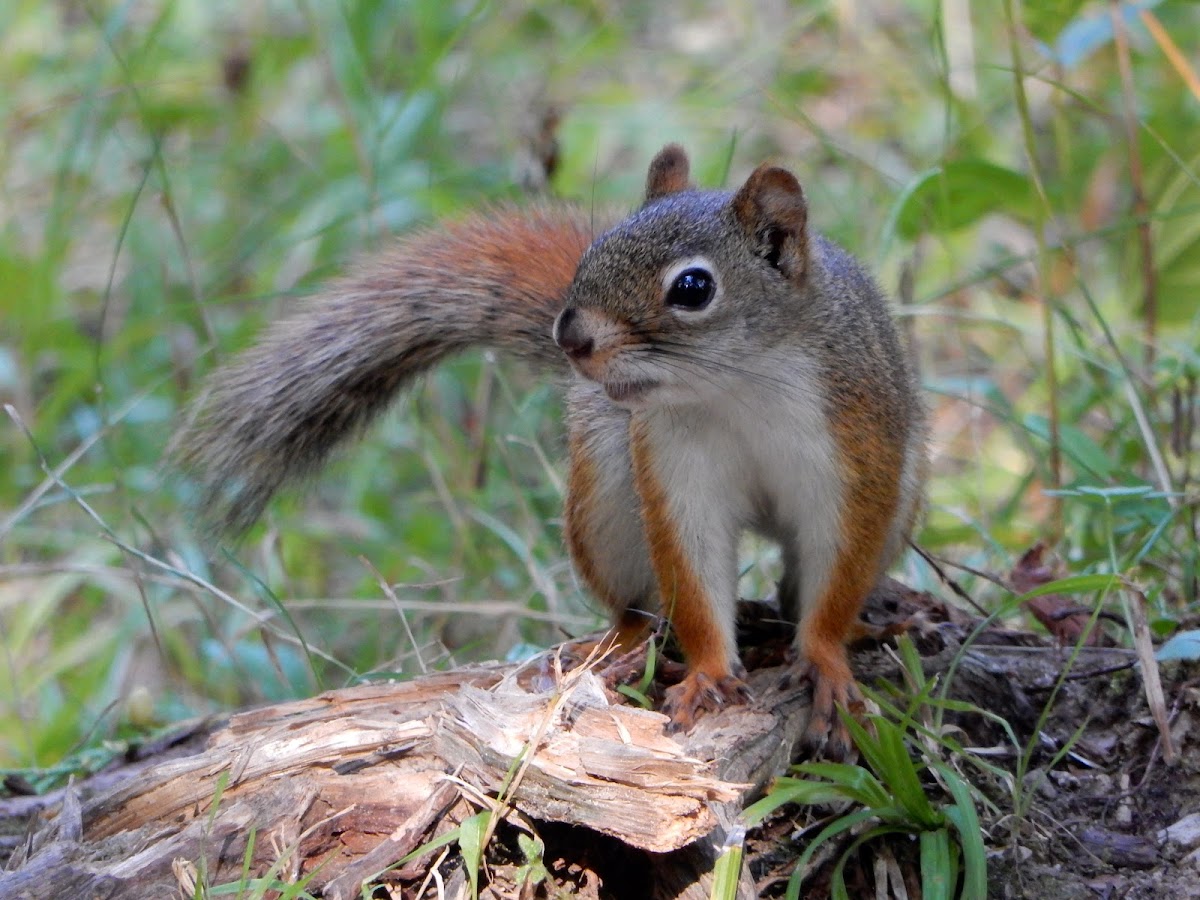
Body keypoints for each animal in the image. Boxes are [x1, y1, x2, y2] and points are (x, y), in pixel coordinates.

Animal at [174, 144, 926, 758]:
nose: (571, 335)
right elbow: (693, 568)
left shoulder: (854, 453)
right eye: (592, 253)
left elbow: (834, 573)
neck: (737, 386)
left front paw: (827, 664)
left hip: (906, 496)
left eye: (693, 287)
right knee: (636, 604)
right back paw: (620, 644)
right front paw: (710, 672)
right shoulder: (674, 465)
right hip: (605, 497)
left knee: (803, 585)